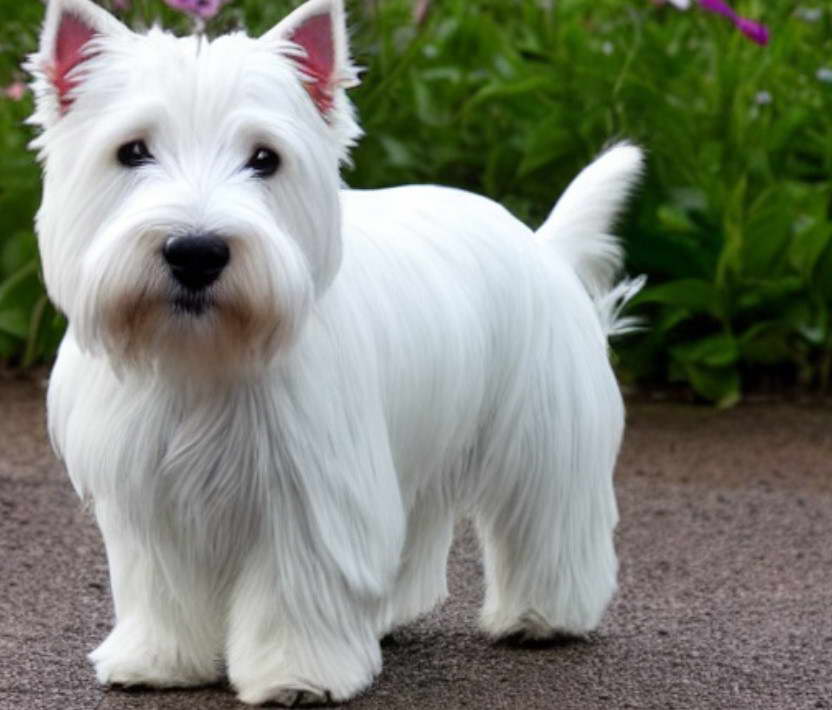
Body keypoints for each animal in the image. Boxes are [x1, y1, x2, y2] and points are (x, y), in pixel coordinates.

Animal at [29, 0, 644, 708]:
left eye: (264, 158)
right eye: (131, 150)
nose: (197, 252)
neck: (204, 355)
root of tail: (543, 244)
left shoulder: (308, 497)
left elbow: (294, 592)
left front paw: (297, 675)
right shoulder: (152, 499)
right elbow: (165, 590)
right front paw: (160, 661)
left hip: (543, 443)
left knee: (549, 527)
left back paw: (542, 617)